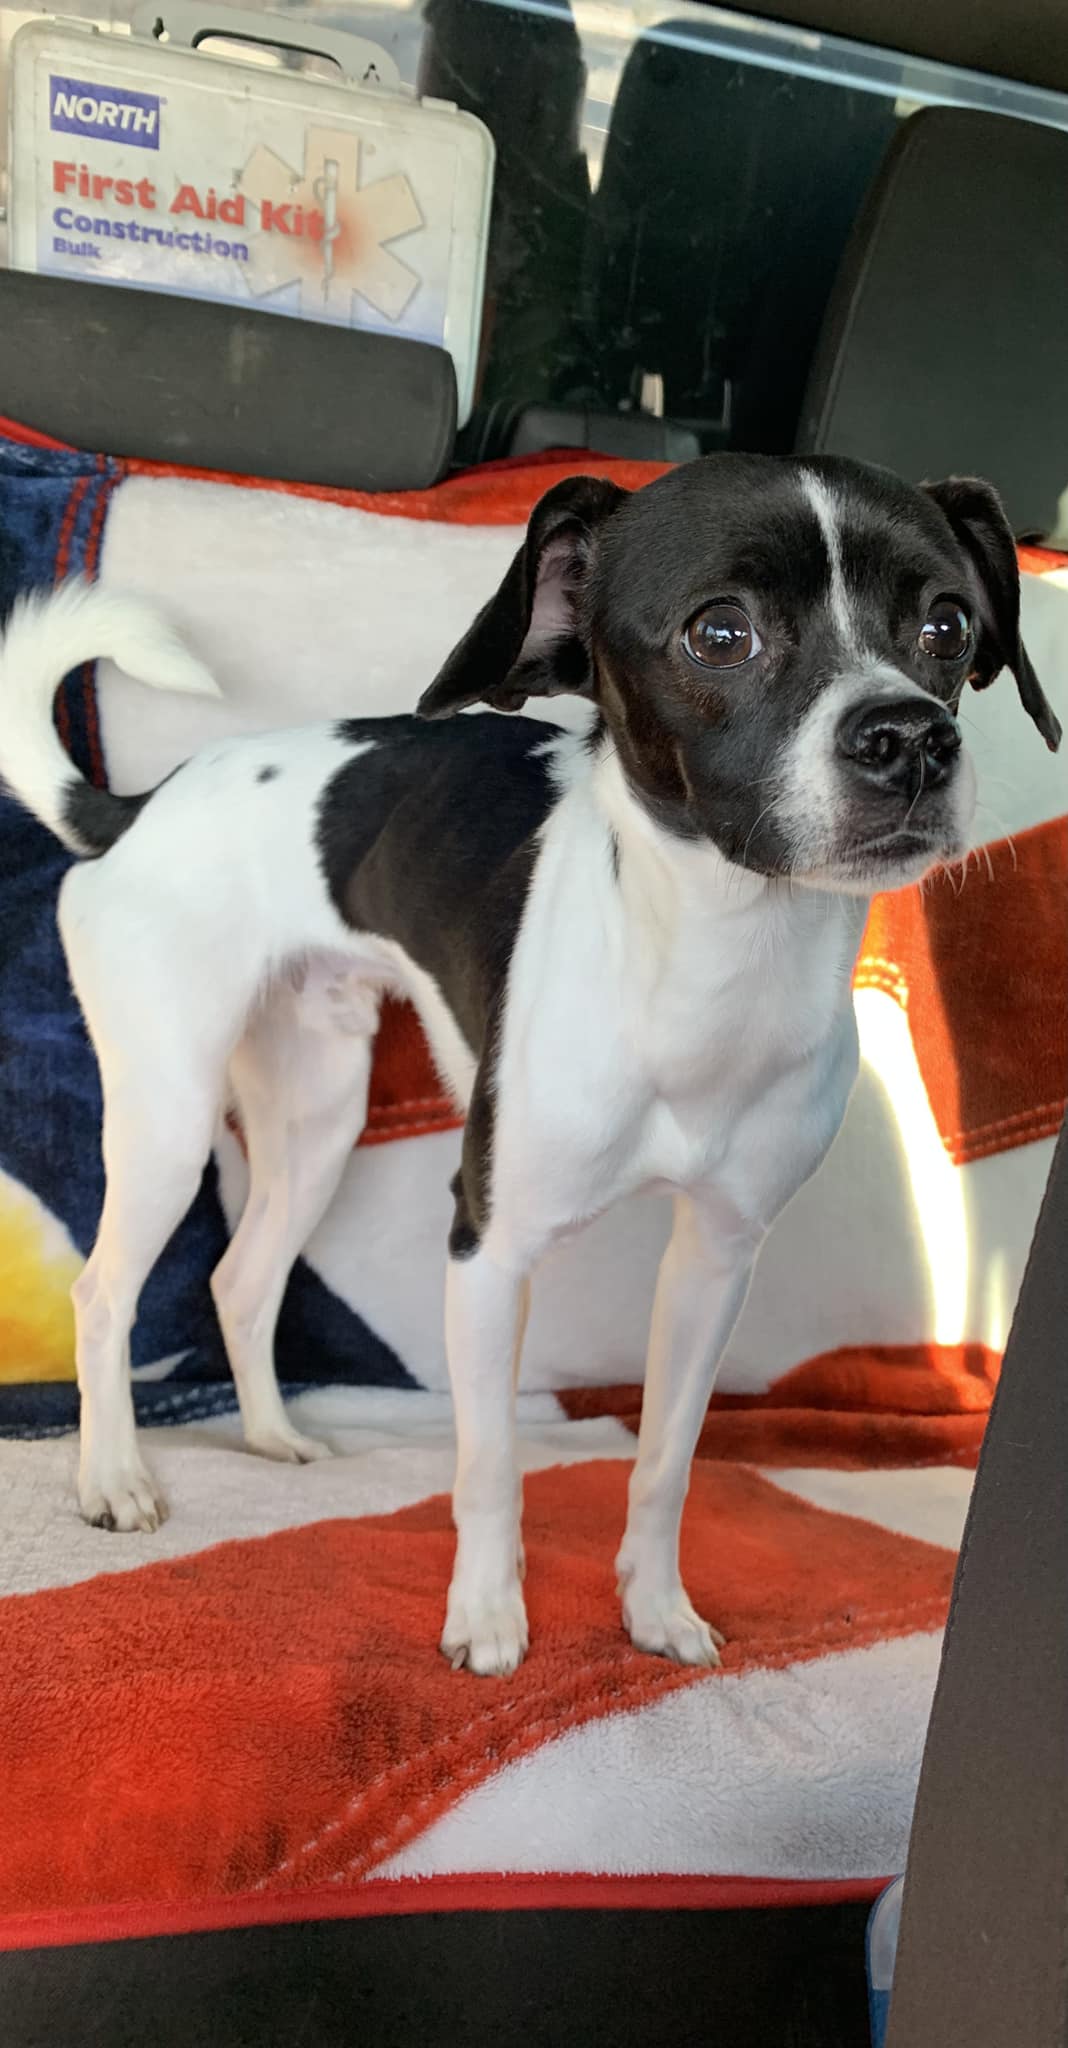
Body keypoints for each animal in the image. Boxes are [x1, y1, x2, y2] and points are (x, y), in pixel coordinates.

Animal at [0, 456, 1057, 1671]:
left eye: (948, 626)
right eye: (720, 632)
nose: (914, 738)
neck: (709, 966)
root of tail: (139, 807)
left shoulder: (716, 1261)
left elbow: (664, 1464)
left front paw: (655, 1607)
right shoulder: (487, 1248)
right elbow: (489, 1463)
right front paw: (488, 1616)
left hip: (317, 1119)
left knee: (241, 1276)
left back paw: (269, 1435)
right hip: (171, 1118)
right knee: (103, 1291)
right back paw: (113, 1476)